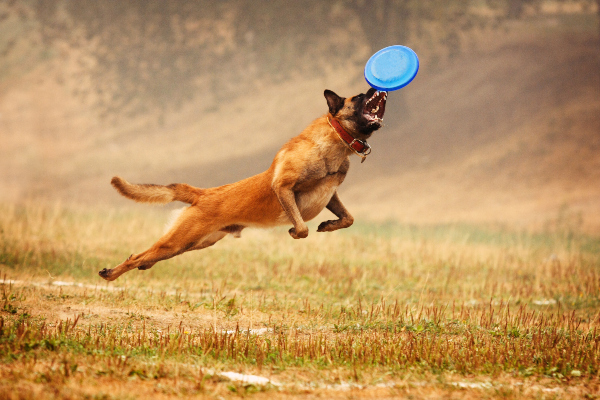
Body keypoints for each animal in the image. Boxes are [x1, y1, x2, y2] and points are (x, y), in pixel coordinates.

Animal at [97, 87, 390, 282]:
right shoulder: (283, 187)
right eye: (359, 97)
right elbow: (302, 227)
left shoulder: (330, 195)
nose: (377, 88)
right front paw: (296, 231)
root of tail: (203, 193)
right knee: (137, 256)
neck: (336, 142)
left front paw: (328, 225)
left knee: (147, 256)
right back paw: (110, 273)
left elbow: (348, 218)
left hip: (192, 244)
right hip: (177, 241)